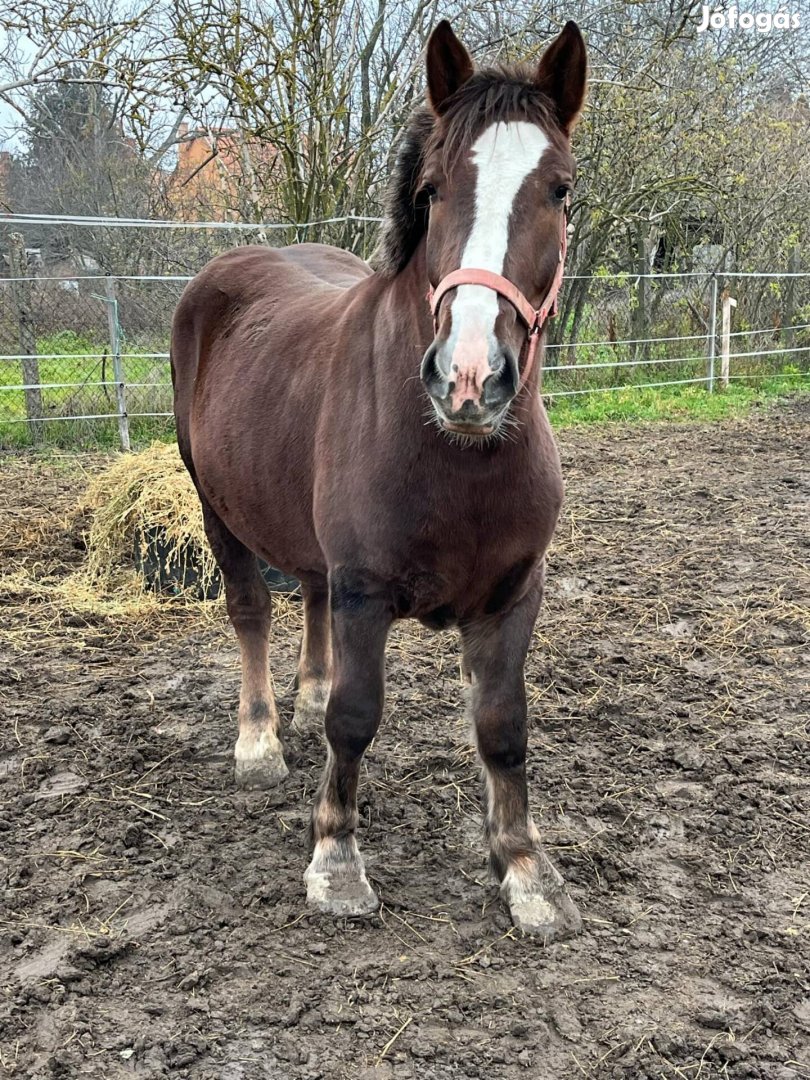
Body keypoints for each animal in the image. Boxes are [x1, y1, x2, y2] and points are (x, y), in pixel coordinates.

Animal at [172, 21, 591, 941]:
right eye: (432, 191)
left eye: (560, 192)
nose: (470, 378)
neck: (455, 454)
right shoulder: (366, 591)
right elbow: (356, 720)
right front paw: (335, 862)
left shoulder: (516, 594)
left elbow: (503, 726)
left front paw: (526, 870)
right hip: (214, 504)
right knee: (251, 610)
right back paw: (260, 740)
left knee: (308, 593)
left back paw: (302, 696)